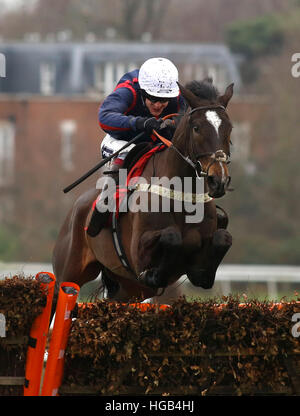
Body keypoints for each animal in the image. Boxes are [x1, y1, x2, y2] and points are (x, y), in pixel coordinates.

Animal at [52, 78, 234, 306]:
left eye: (229, 128)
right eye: (196, 128)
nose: (219, 180)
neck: (181, 197)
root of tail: (75, 209)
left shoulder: (199, 268)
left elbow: (223, 238)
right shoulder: (138, 254)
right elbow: (171, 236)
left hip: (129, 289)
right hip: (68, 273)